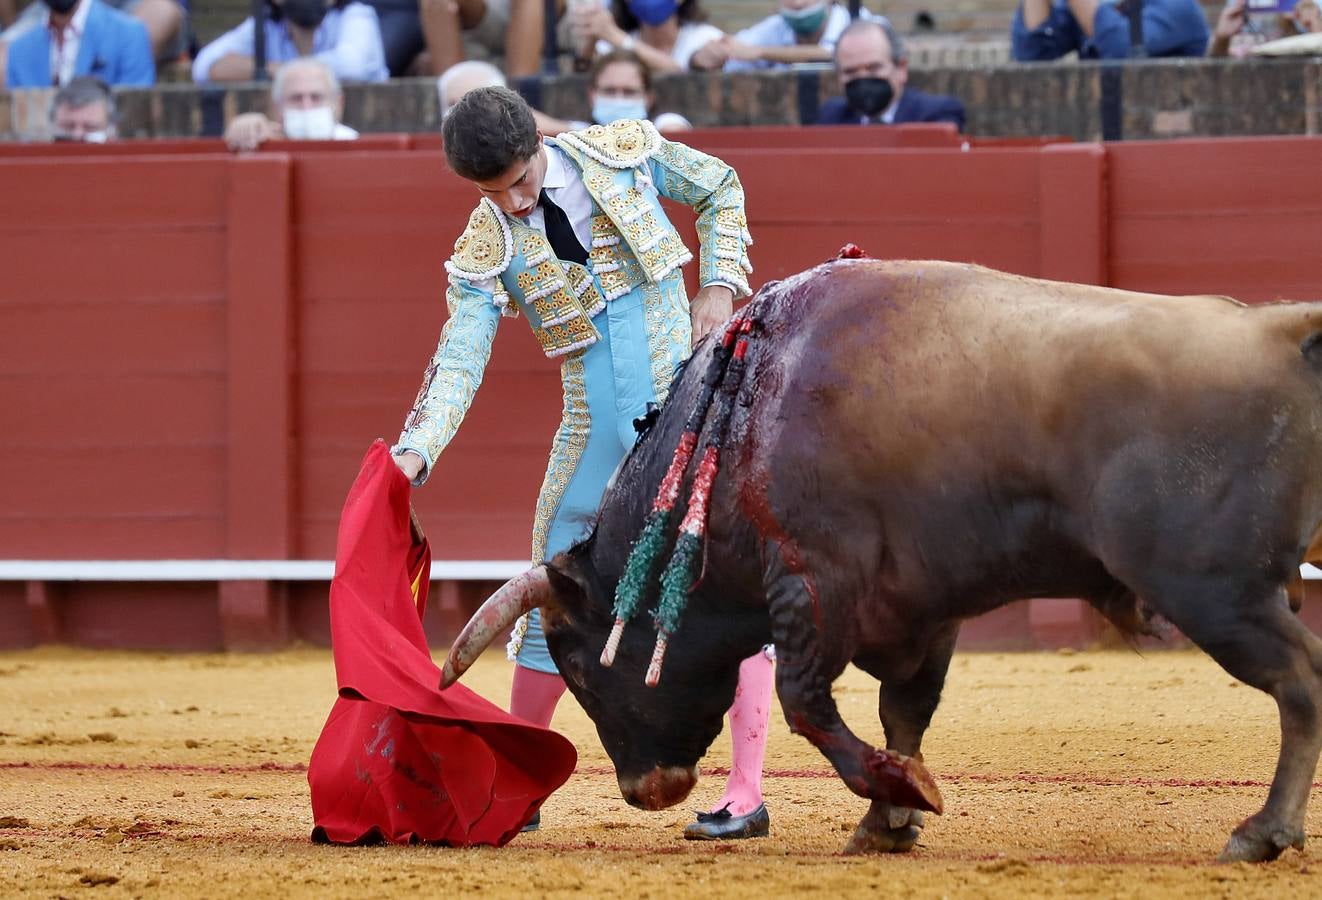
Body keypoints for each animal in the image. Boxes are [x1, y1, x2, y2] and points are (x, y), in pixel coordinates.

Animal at [441, 256, 1322, 861]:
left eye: (582, 671)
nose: (643, 789)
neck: (745, 412)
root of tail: (1285, 332)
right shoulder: (922, 612)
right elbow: (906, 712)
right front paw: (886, 822)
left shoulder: (810, 584)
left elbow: (806, 702)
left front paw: (902, 794)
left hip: (1215, 590)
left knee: (1299, 681)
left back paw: (1262, 832)